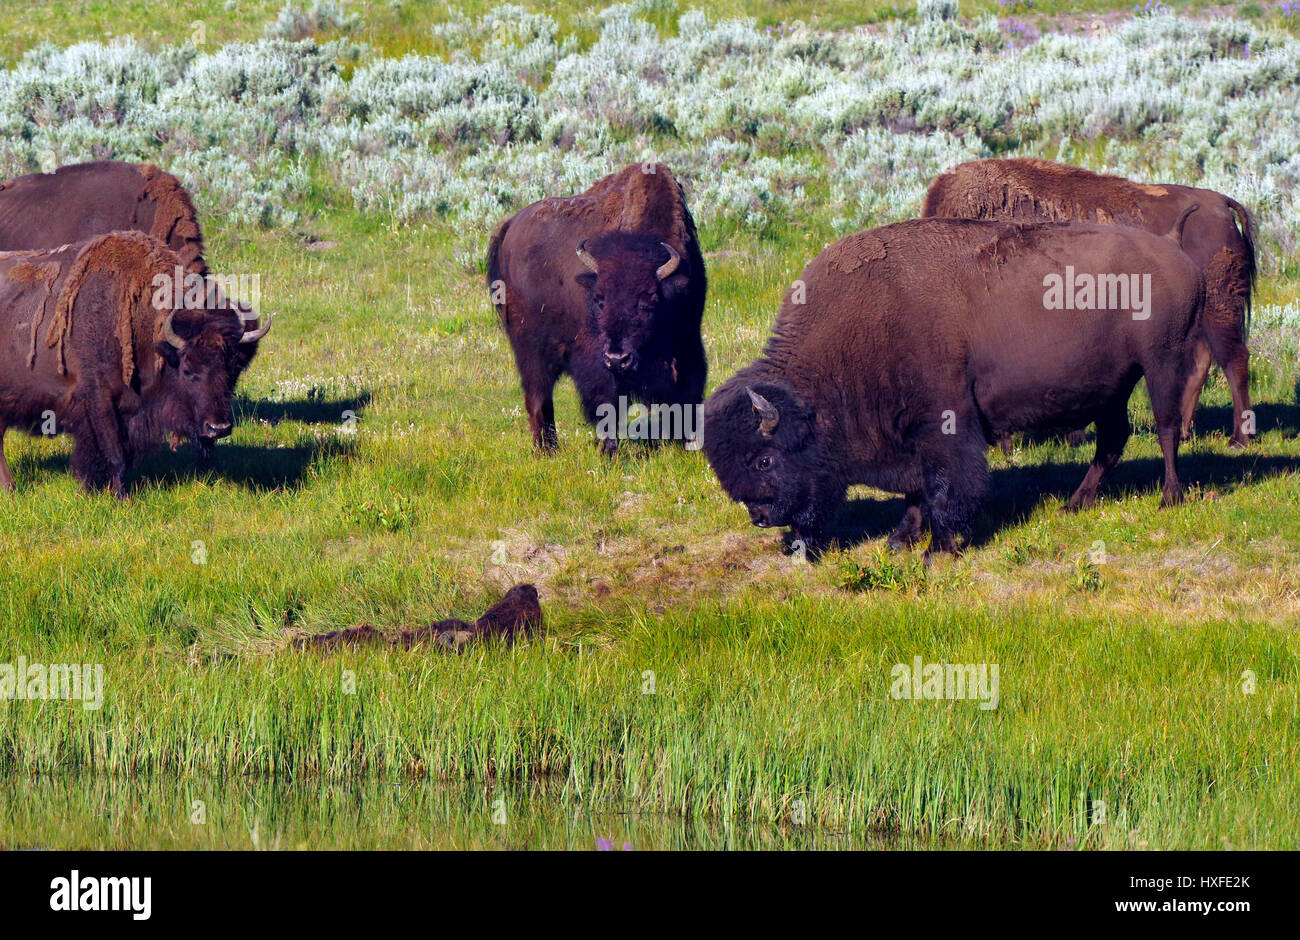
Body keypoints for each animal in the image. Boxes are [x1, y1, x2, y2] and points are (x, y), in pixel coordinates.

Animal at [0, 231, 267, 496]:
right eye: (187, 370)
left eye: (234, 369)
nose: (218, 427)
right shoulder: (98, 399)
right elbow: (114, 454)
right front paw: (119, 497)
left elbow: (121, 455)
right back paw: (11, 489)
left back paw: (10, 489)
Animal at [488, 163, 712, 455]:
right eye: (598, 298)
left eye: (649, 301)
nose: (618, 358)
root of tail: (509, 228)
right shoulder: (596, 361)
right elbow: (606, 405)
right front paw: (610, 452)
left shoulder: (688, 341)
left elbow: (687, 394)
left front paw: (687, 446)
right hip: (530, 349)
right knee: (538, 397)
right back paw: (546, 451)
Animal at [707, 217, 1201, 559]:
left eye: (765, 459)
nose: (761, 517)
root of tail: (1178, 256)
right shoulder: (906, 434)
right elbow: (917, 491)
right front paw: (899, 541)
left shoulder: (944, 425)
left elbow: (946, 486)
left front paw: (938, 548)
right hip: (1112, 388)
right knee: (1112, 440)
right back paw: (1073, 505)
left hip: (1161, 362)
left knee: (1167, 428)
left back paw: (1170, 499)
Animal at [920, 156, 1253, 447]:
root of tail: (1220, 204)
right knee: (1202, 362)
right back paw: (1185, 431)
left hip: (1220, 308)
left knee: (1234, 360)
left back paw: (1238, 438)